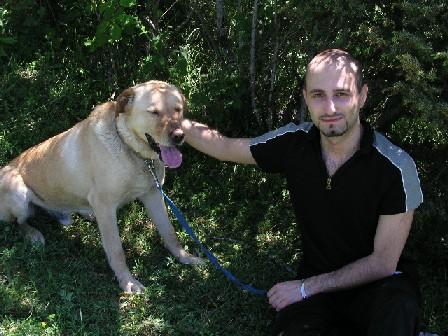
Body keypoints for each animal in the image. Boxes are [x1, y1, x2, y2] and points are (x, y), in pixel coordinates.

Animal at [0, 80, 201, 292]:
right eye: (153, 112)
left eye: (178, 109)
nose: (179, 136)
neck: (131, 150)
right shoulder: (105, 205)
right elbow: (116, 249)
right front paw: (128, 282)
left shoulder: (153, 194)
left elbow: (169, 231)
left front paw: (185, 257)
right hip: (18, 191)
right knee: (18, 222)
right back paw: (33, 235)